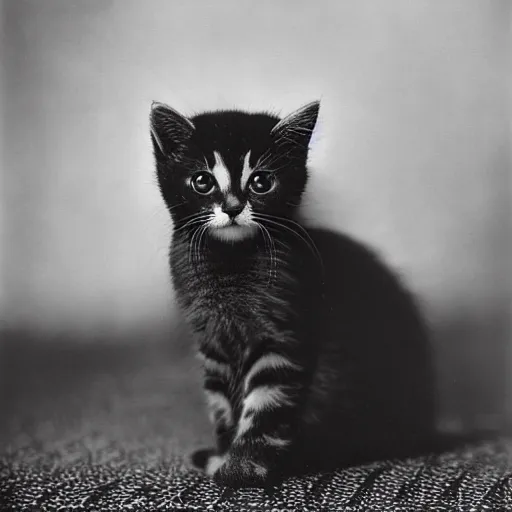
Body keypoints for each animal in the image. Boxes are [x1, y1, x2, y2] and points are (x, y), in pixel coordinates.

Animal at [149, 100, 436, 488]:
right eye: (202, 181)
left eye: (261, 182)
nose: (233, 207)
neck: (231, 260)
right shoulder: (212, 344)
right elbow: (222, 406)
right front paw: (224, 453)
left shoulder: (282, 335)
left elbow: (265, 403)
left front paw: (242, 468)